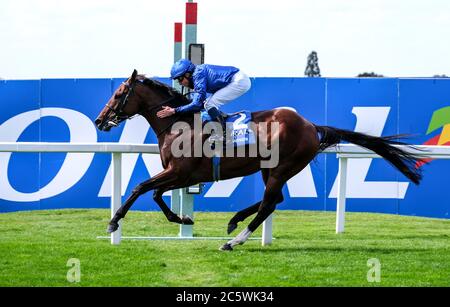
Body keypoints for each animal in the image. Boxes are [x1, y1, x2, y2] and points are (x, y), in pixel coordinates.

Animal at [93, 70, 424, 253]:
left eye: (119, 93)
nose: (99, 120)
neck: (179, 122)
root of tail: (311, 125)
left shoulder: (180, 172)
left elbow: (140, 187)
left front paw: (113, 222)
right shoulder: (180, 175)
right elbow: (156, 194)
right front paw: (183, 218)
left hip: (281, 167)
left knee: (268, 203)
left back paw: (234, 240)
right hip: (271, 169)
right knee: (274, 200)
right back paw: (234, 221)